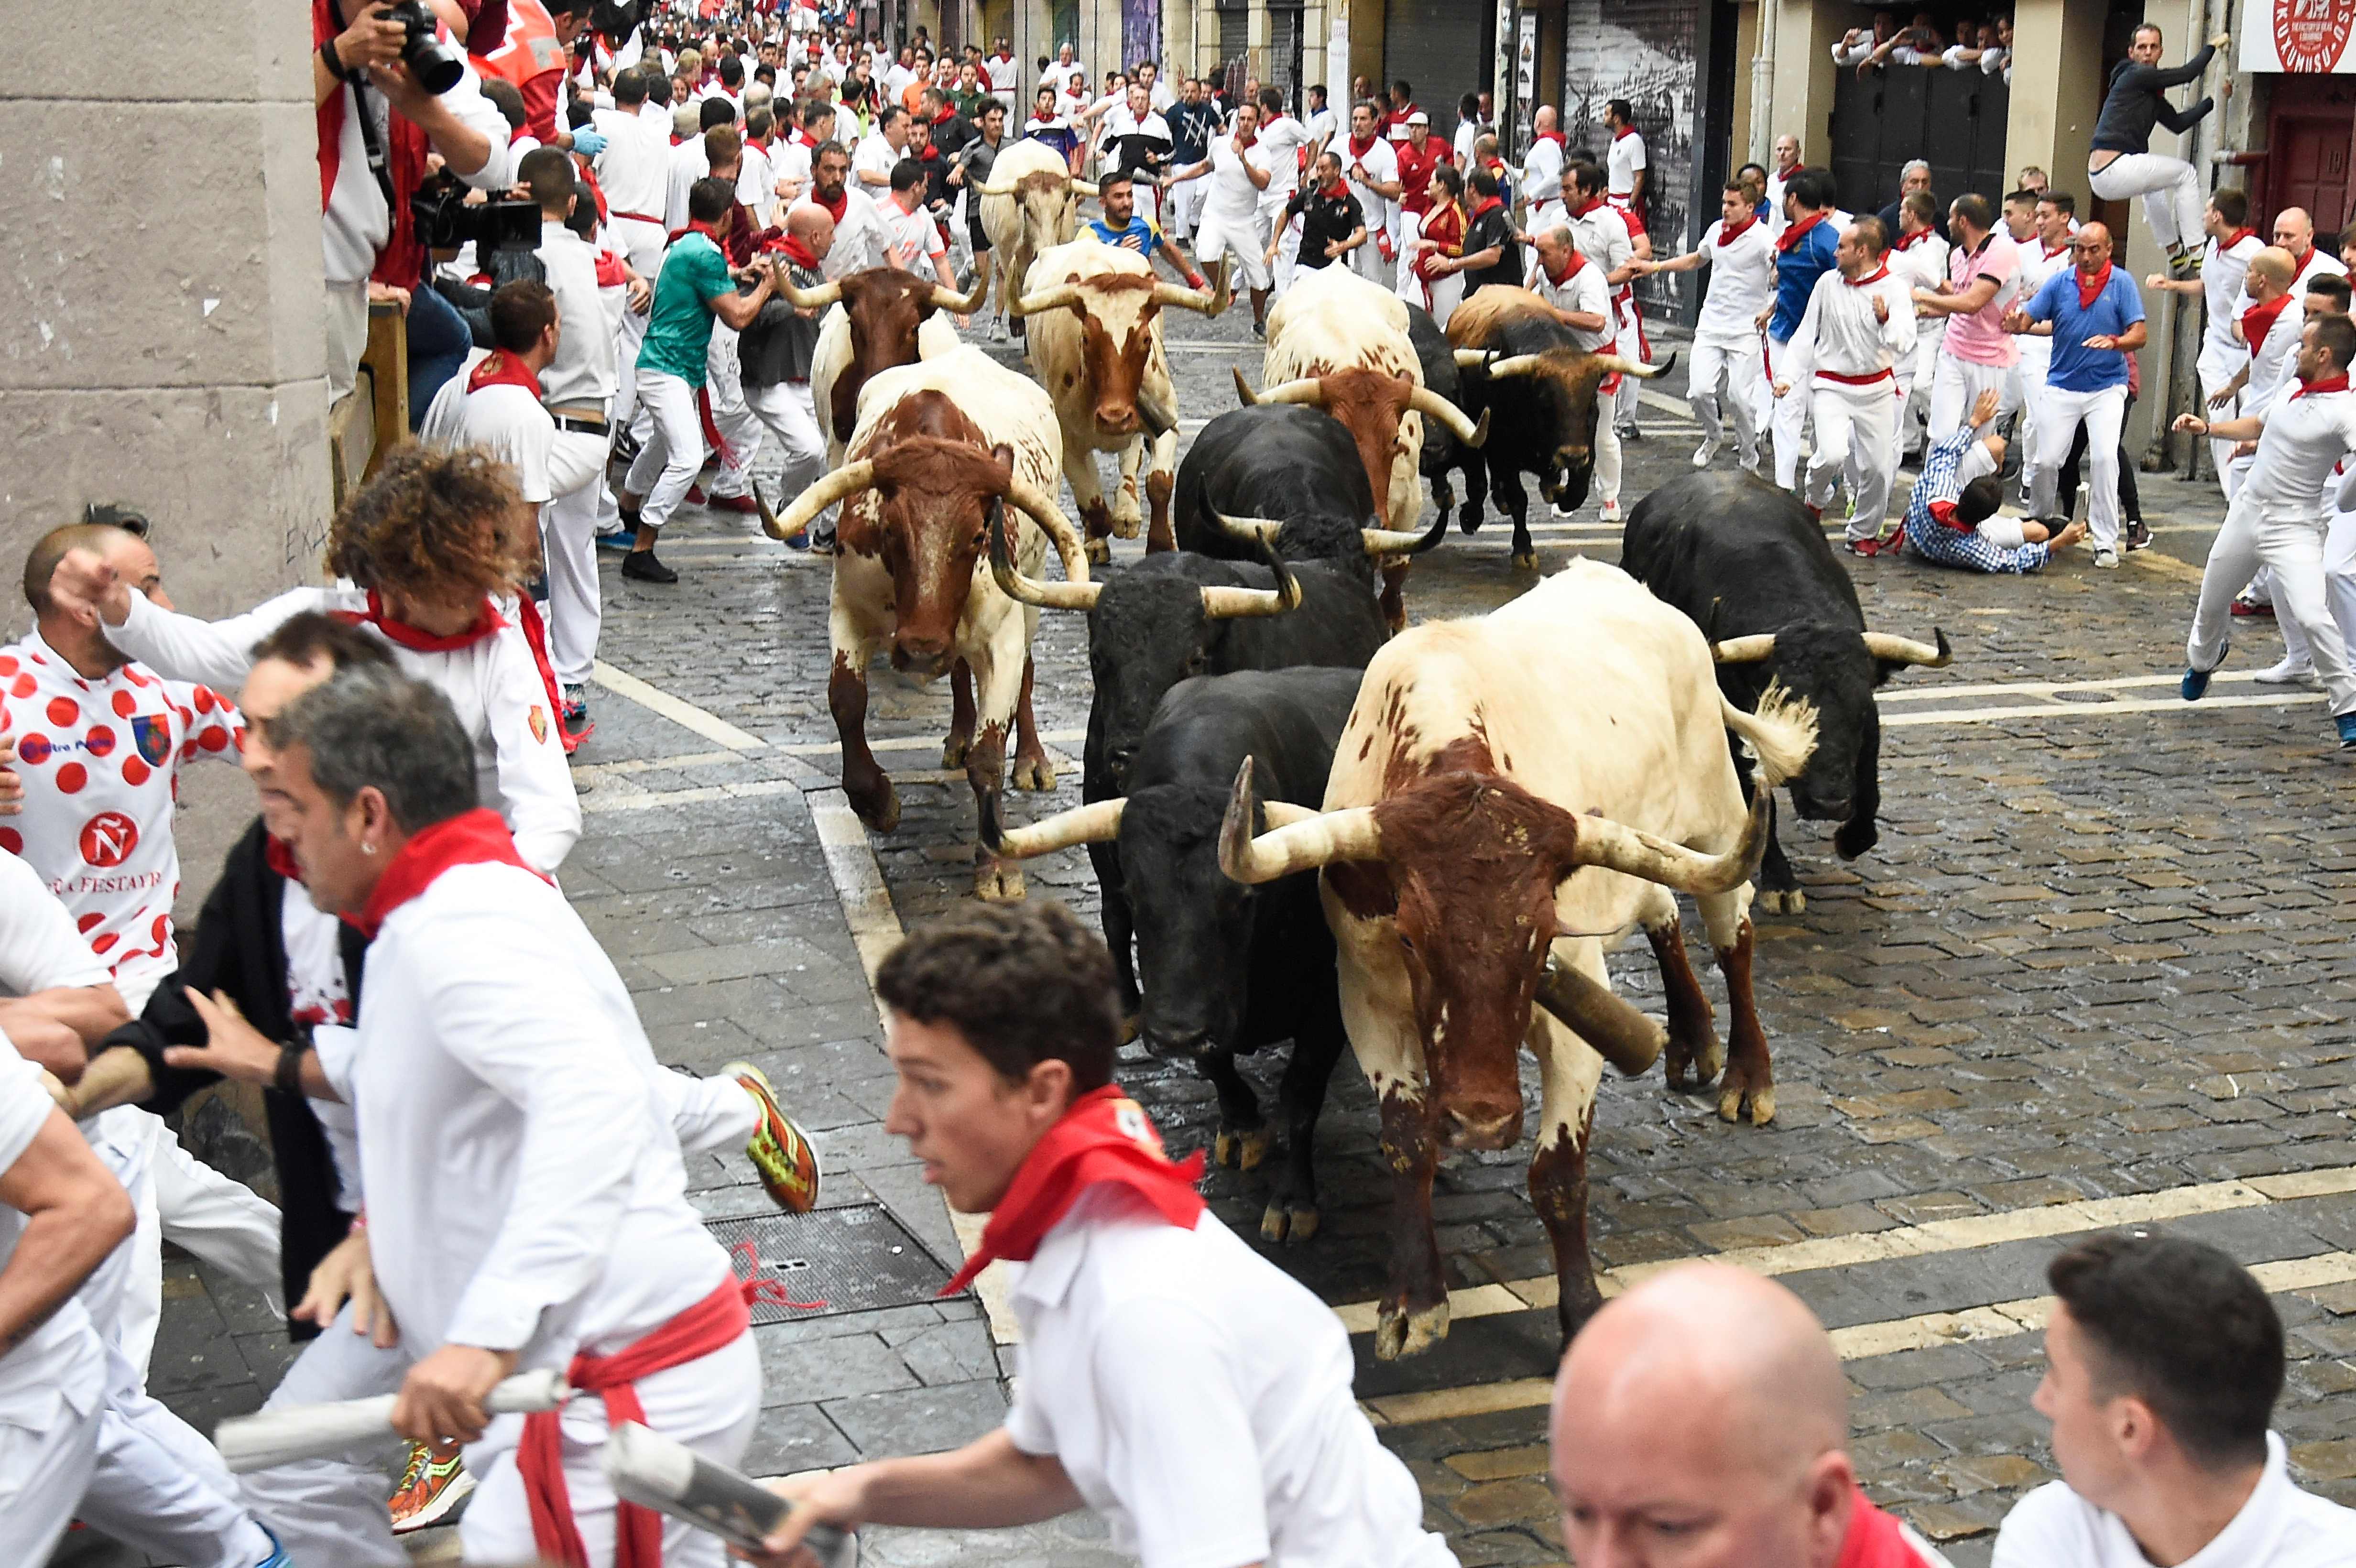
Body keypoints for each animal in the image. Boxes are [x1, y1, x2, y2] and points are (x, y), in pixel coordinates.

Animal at [984, 664, 1366, 1243]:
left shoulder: (1328, 996)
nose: (1174, 1035)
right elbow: (1216, 1063)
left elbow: (1301, 1093)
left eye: (1243, 898)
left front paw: (1293, 1201)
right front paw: (1243, 1125)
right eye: (1133, 894)